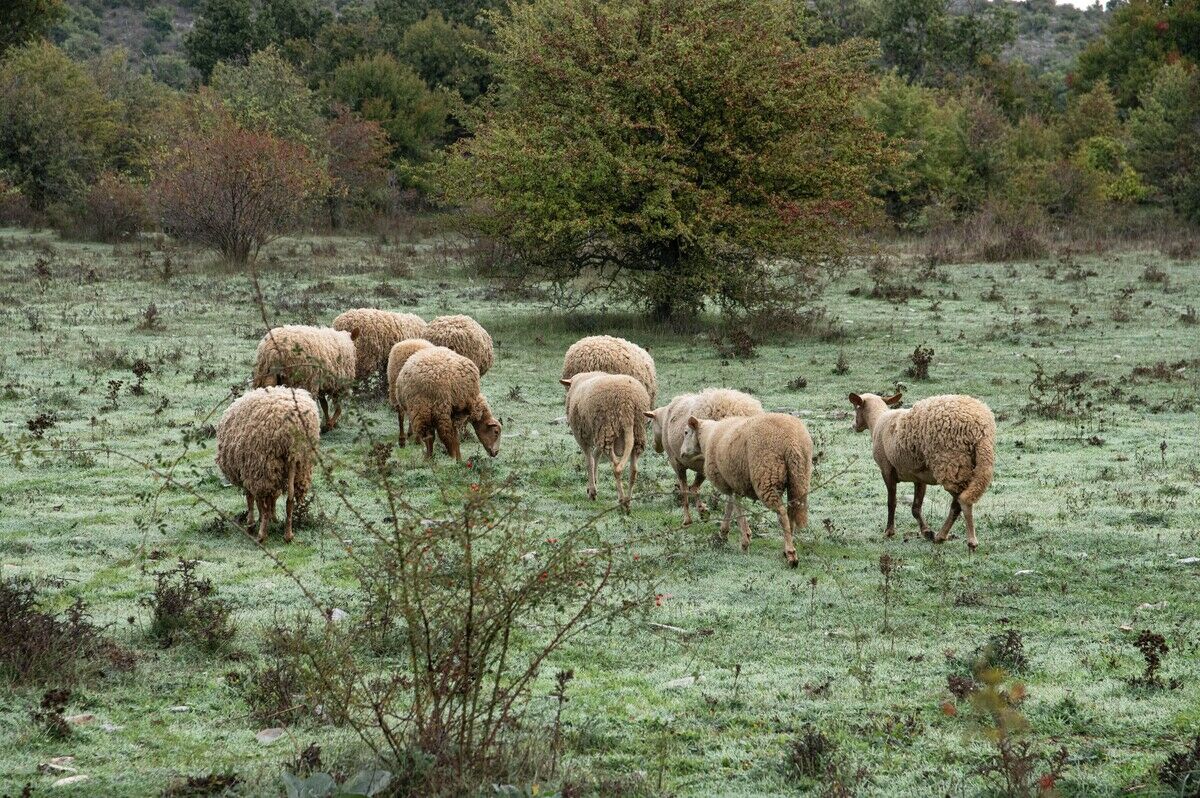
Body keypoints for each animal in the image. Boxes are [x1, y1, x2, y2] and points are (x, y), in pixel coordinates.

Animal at [216, 386, 320, 543]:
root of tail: (293, 426)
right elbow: (272, 497)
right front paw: (274, 518)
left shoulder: (249, 470)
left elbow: (251, 499)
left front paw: (252, 524)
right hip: (298, 464)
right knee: (290, 498)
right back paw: (288, 535)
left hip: (263, 466)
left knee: (262, 502)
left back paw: (261, 534)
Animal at [560, 371, 651, 510]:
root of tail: (627, 402)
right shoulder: (597, 435)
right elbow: (596, 456)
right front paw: (593, 483)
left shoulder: (582, 436)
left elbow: (589, 461)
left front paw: (592, 491)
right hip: (637, 431)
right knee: (633, 470)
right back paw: (628, 502)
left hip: (606, 428)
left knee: (617, 467)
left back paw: (622, 501)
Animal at [645, 389, 763, 525]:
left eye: (651, 424)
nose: (655, 447)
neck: (665, 418)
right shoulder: (702, 467)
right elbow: (694, 488)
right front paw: (703, 511)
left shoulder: (676, 462)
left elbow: (685, 490)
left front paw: (689, 518)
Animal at [681, 413, 812, 567]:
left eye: (686, 432)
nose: (681, 453)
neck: (707, 437)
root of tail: (792, 440)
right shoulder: (733, 484)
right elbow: (731, 507)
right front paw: (724, 533)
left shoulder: (732, 484)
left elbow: (738, 511)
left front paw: (744, 542)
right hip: (799, 478)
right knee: (792, 511)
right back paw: (787, 547)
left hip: (766, 476)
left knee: (782, 513)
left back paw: (791, 555)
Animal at [848, 392, 995, 550]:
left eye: (856, 407)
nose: (854, 426)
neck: (878, 421)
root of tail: (981, 430)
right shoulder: (918, 476)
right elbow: (916, 507)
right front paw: (926, 532)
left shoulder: (886, 470)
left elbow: (891, 502)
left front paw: (889, 531)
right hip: (966, 466)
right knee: (959, 502)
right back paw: (941, 536)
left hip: (950, 464)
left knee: (962, 502)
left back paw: (968, 541)